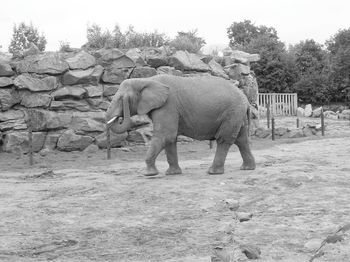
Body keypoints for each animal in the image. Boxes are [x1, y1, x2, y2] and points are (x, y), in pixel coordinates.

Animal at [105, 73, 256, 176]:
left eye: (121, 99)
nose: (119, 117)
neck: (147, 79)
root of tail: (246, 100)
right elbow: (170, 139)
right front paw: (172, 173)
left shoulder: (168, 106)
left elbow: (166, 135)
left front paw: (149, 174)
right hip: (237, 115)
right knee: (242, 139)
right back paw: (247, 168)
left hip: (232, 112)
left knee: (224, 139)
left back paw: (213, 172)